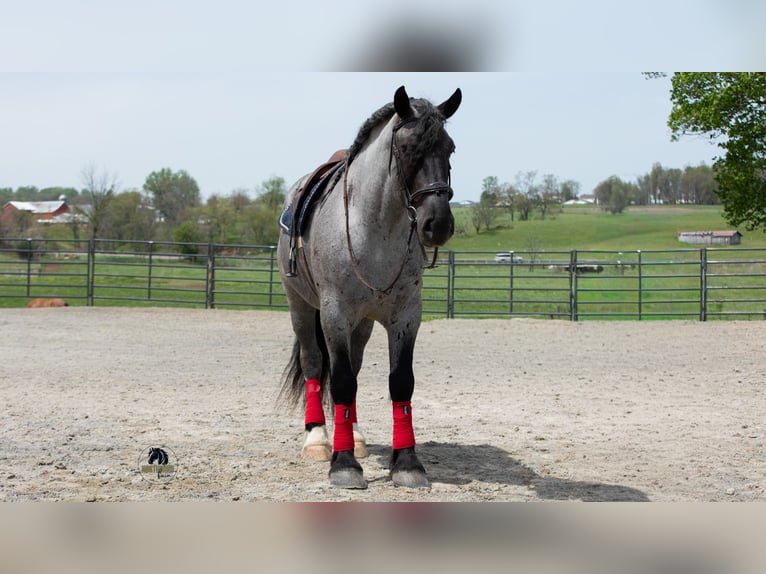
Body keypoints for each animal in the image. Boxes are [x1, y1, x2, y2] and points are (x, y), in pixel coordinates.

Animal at [278, 85, 461, 489]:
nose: (437, 224)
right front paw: (343, 464)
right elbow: (341, 382)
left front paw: (406, 462)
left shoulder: (405, 317)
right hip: (301, 307)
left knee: (357, 367)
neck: (375, 228)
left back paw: (356, 435)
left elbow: (399, 383)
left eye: (450, 148)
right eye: (406, 149)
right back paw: (318, 437)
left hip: (361, 323)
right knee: (314, 363)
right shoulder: (334, 315)